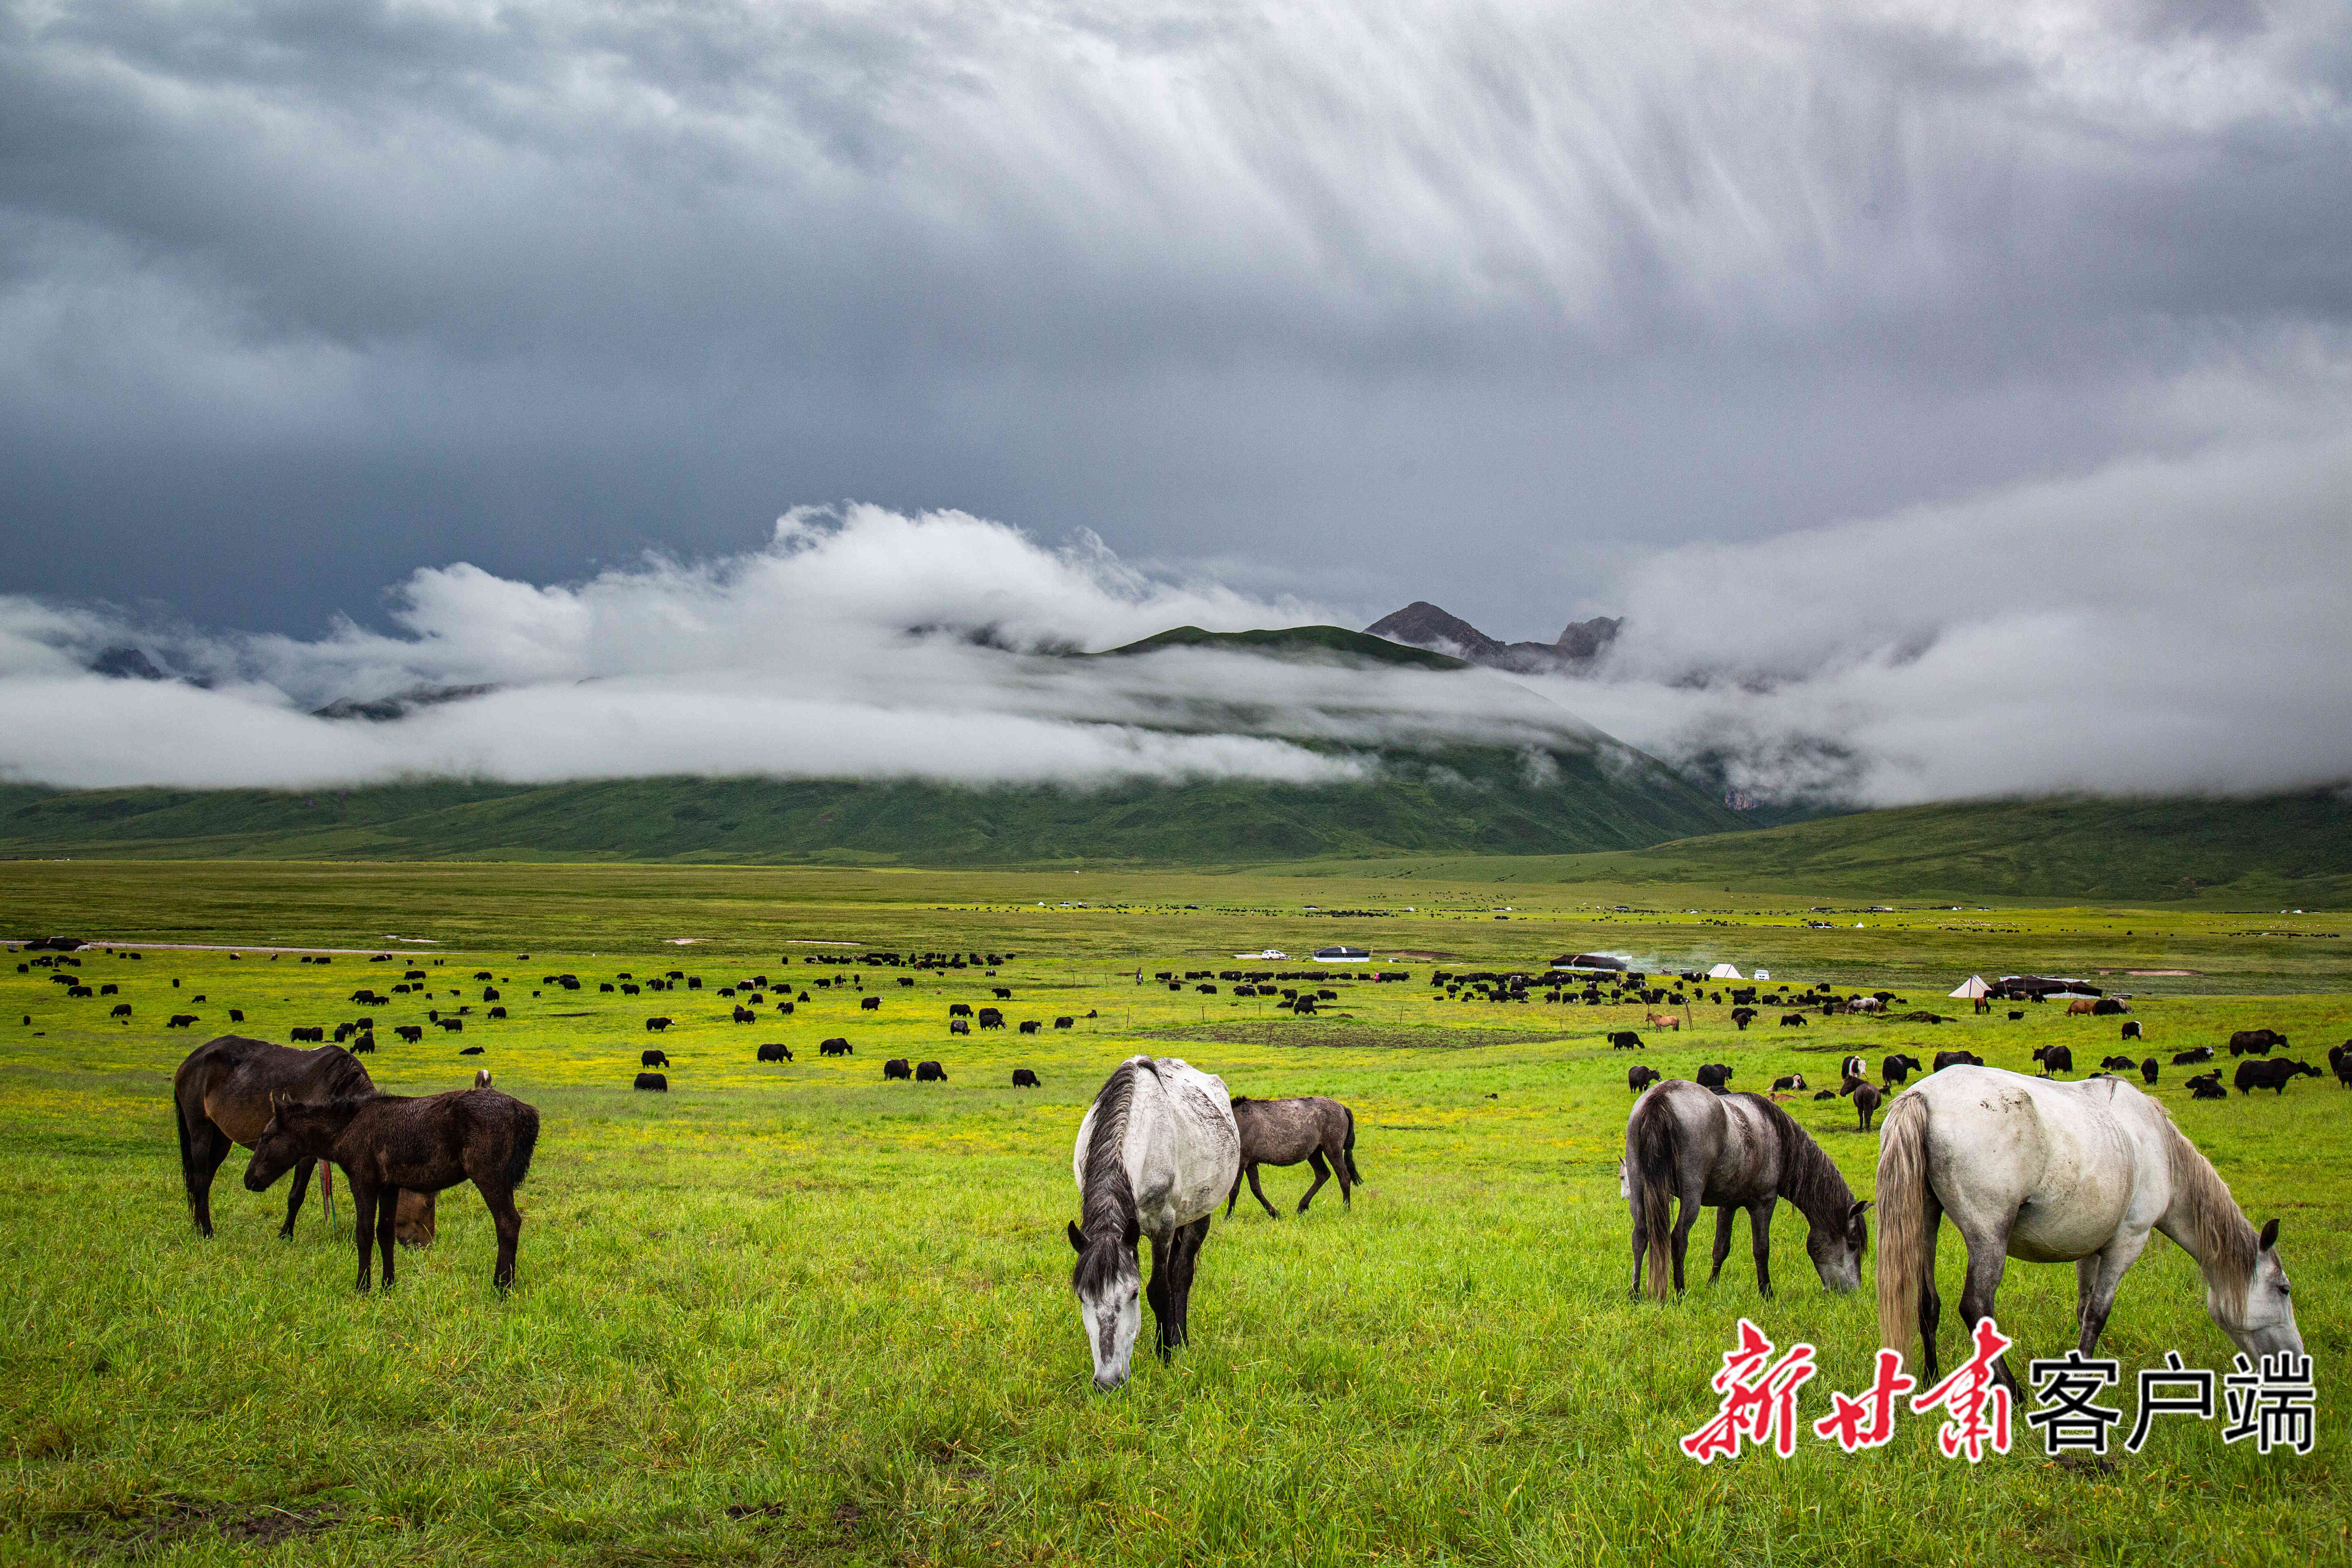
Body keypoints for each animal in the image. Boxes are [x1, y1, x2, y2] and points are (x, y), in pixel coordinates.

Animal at [174, 1034, 437, 1241]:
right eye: (428, 1204)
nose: (426, 1244)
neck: (338, 1087)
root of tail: (190, 1061)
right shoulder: (307, 1153)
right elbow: (296, 1195)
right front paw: (285, 1236)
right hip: (200, 1130)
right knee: (200, 1179)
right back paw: (207, 1232)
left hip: (221, 1138)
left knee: (204, 1180)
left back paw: (199, 1225)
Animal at [242, 1086, 539, 1297]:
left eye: (266, 1137)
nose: (249, 1179)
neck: (344, 1131)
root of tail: (525, 1113)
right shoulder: (389, 1187)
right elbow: (385, 1234)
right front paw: (388, 1286)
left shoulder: (363, 1181)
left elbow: (363, 1234)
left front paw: (363, 1288)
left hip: (489, 1175)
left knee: (508, 1223)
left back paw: (502, 1288)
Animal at [1072, 1062, 1242, 1392]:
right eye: (1083, 1297)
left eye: (1133, 1294)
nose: (1108, 1383)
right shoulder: (1130, 1234)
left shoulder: (1162, 1226)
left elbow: (1160, 1289)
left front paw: (1164, 1355)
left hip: (1197, 1217)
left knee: (1182, 1275)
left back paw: (1180, 1340)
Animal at [1223, 1100, 1354, 1222]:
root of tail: (1343, 1107)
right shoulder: (1251, 1163)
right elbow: (1256, 1190)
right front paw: (1275, 1214)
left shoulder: (1242, 1161)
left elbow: (1234, 1190)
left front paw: (1228, 1218)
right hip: (1315, 1153)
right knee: (1323, 1174)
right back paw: (1301, 1208)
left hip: (1333, 1150)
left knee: (1344, 1178)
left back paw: (1346, 1210)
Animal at [1882, 1067, 2305, 1382]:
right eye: (2284, 1290)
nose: (2297, 1361)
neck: (2161, 1150)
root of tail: (1924, 1096)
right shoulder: (2126, 1244)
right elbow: (2099, 1314)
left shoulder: (2089, 1248)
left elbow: (2083, 1309)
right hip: (1989, 1238)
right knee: (1976, 1307)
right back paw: (2013, 1392)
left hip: (1926, 1221)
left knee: (1927, 1303)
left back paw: (1932, 1378)